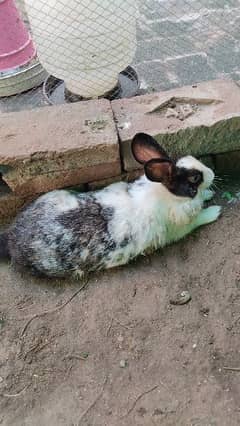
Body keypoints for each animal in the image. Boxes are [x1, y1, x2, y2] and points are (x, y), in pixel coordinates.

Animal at [0, 134, 221, 280]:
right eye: (195, 178)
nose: (212, 172)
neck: (167, 194)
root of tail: (10, 238)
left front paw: (208, 195)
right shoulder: (179, 229)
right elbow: (199, 218)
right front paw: (215, 210)